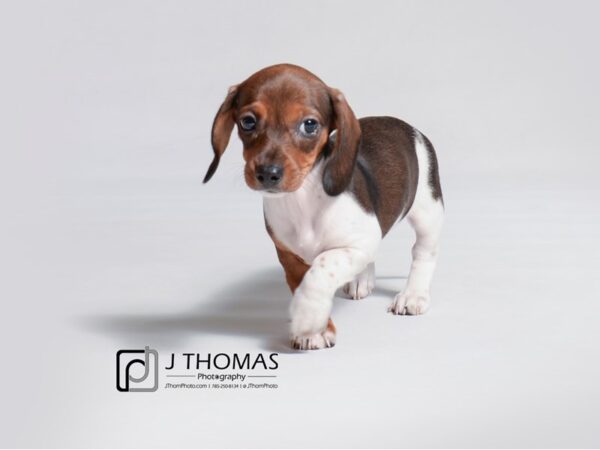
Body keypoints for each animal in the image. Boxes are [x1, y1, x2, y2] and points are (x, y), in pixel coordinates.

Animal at [204, 64, 442, 352]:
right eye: (247, 121)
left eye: (310, 125)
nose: (267, 173)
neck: (302, 200)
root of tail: (407, 127)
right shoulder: (289, 256)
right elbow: (302, 283)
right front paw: (317, 328)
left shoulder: (358, 243)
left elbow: (320, 270)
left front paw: (306, 320)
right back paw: (361, 281)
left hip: (428, 213)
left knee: (423, 252)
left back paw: (413, 295)